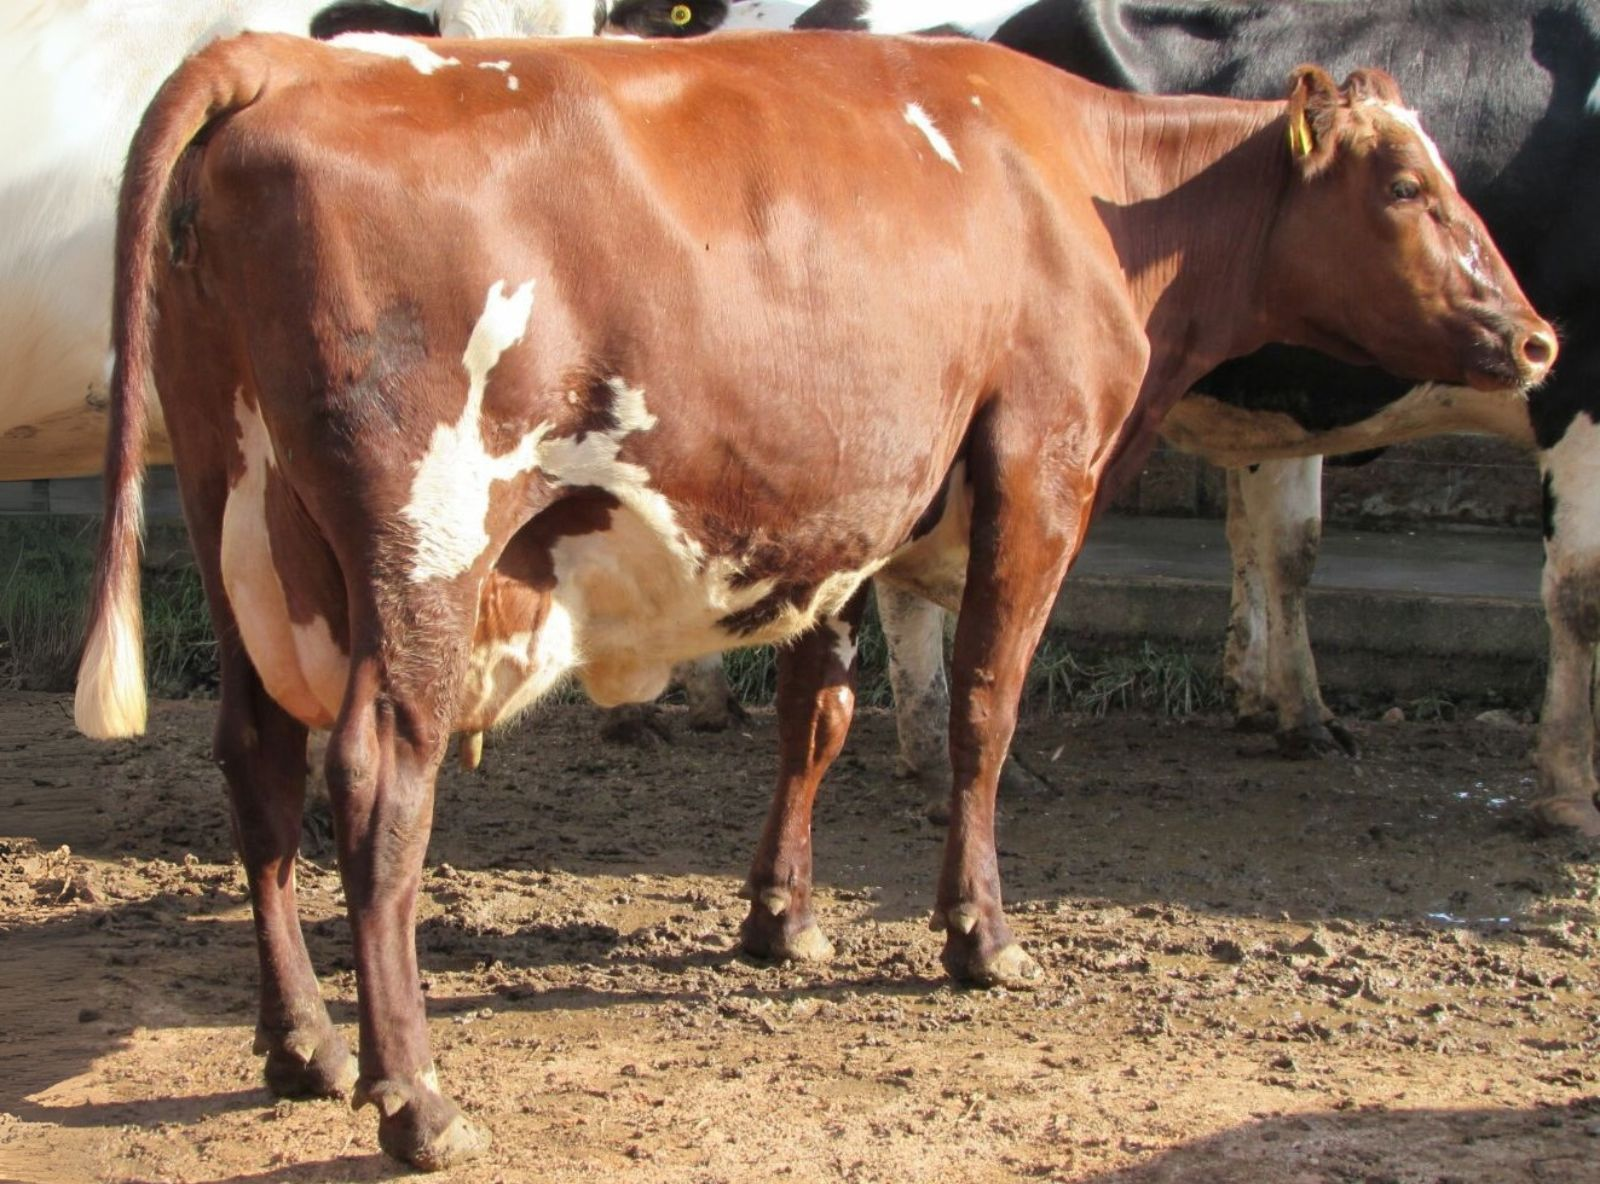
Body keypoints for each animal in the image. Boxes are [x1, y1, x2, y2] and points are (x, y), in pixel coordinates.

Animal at [75, 28, 1551, 1167]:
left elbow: (818, 716)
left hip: (234, 520)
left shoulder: (844, 508)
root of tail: (286, 56)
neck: (1085, 190)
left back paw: (303, 1045)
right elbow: (983, 709)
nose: (1538, 338)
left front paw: (779, 919)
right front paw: (979, 936)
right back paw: (416, 1099)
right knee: (378, 790)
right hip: (423, 547)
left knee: (256, 765)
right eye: (1409, 185)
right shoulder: (1040, 464)